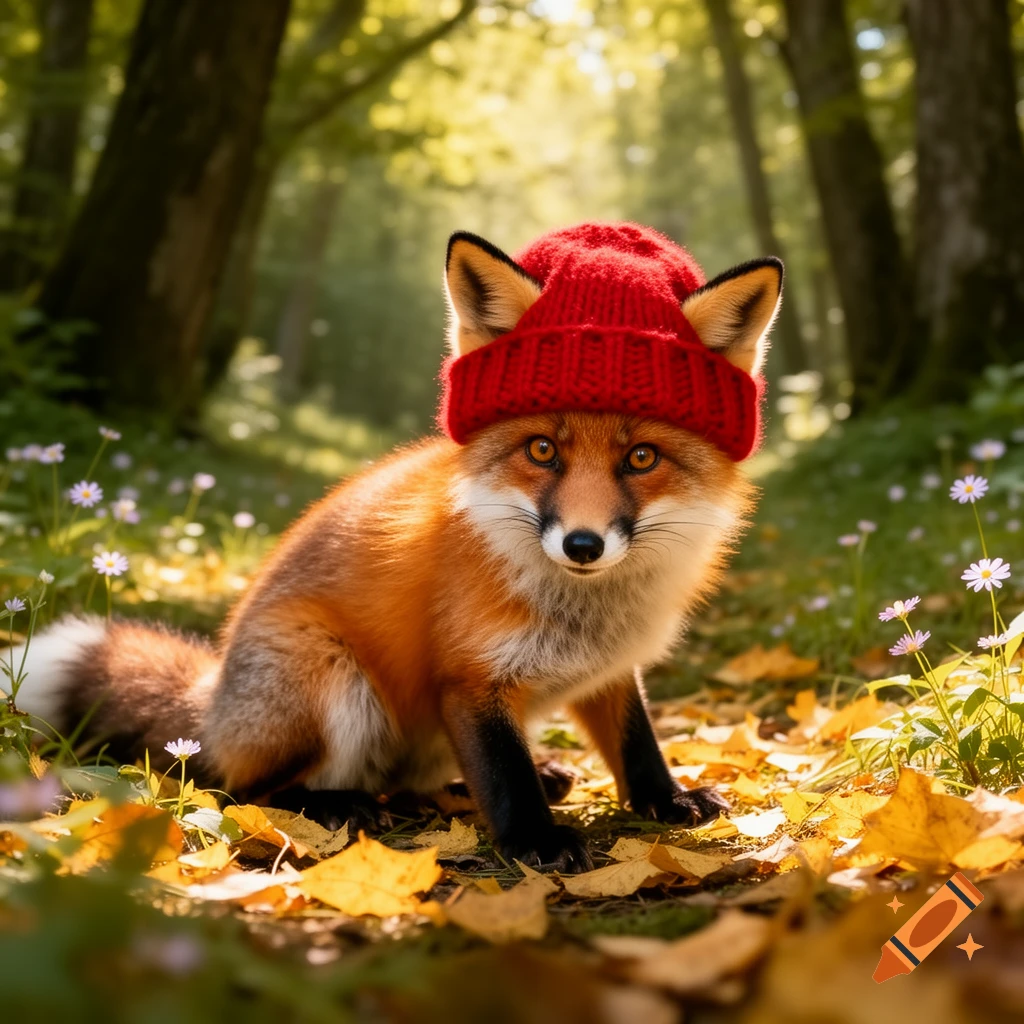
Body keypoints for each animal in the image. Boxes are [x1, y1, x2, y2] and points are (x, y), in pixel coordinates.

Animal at [13, 222, 782, 872]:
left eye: (642, 458)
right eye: (542, 450)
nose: (583, 544)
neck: (587, 612)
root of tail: (214, 703)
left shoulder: (610, 672)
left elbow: (636, 743)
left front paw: (667, 801)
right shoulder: (469, 678)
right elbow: (505, 777)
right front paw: (535, 841)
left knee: (411, 784)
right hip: (334, 683)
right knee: (243, 790)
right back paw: (337, 805)